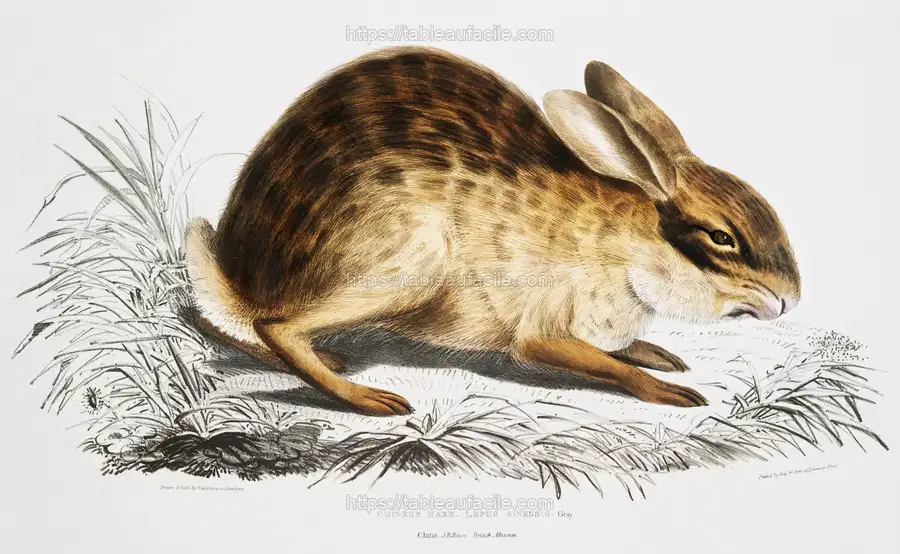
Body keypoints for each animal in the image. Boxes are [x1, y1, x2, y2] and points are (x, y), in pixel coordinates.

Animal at [185, 46, 801, 416]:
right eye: (721, 237)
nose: (791, 301)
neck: (627, 244)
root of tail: (244, 280)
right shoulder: (542, 328)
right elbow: (599, 362)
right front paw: (667, 388)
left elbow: (621, 349)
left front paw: (658, 354)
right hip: (410, 264)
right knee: (276, 326)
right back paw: (367, 397)